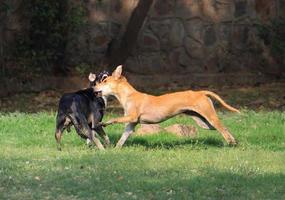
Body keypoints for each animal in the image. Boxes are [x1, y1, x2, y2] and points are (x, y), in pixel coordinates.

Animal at [94, 66, 239, 148]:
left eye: (105, 81)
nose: (94, 88)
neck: (129, 95)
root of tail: (200, 92)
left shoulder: (131, 117)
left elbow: (114, 119)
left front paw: (102, 123)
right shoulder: (131, 124)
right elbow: (123, 138)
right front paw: (115, 149)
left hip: (209, 116)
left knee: (222, 129)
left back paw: (231, 144)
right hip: (203, 122)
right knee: (223, 128)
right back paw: (233, 141)